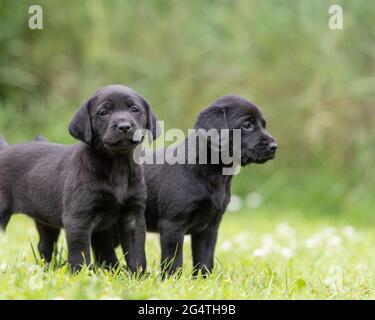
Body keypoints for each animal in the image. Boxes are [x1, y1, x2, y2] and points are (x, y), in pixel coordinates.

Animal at [0, 84, 158, 272]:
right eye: (103, 112)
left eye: (135, 109)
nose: (124, 126)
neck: (117, 165)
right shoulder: (78, 218)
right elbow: (80, 252)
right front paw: (80, 273)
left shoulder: (133, 216)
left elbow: (136, 252)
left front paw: (138, 274)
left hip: (46, 220)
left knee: (44, 246)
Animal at [142, 94, 278, 276]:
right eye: (247, 125)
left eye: (264, 125)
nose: (274, 146)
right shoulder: (172, 224)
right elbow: (174, 261)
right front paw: (171, 280)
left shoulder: (209, 227)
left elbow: (204, 259)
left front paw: (202, 280)